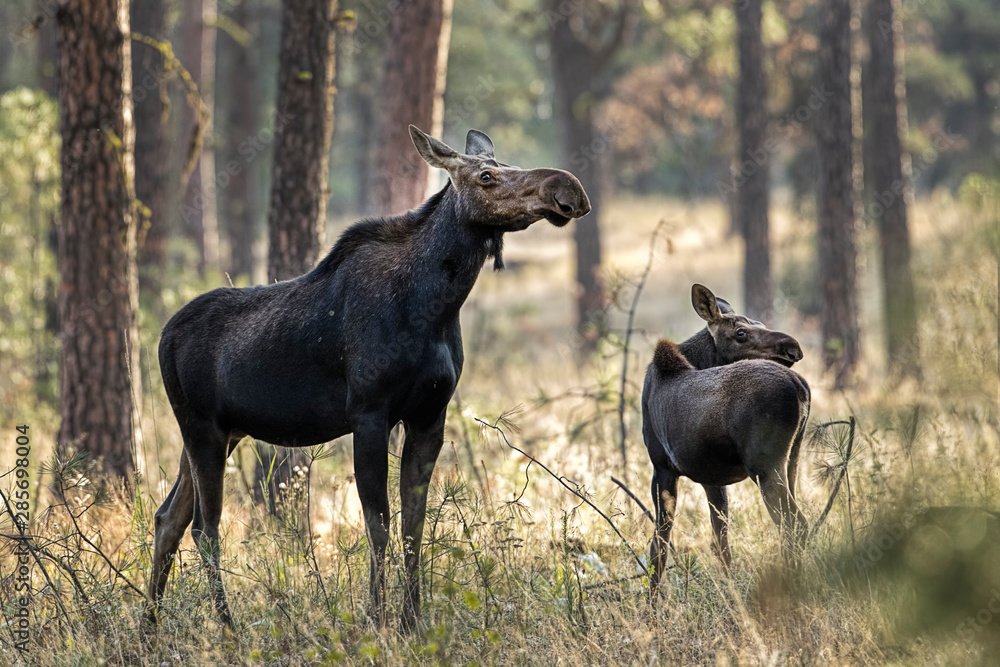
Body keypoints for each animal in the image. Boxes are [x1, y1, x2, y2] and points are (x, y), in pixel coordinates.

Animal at [148, 126, 591, 630]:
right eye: (486, 176)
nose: (567, 190)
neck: (436, 307)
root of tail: (163, 337)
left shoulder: (428, 416)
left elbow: (414, 525)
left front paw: (413, 621)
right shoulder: (369, 414)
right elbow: (378, 526)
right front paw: (376, 622)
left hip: (222, 433)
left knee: (168, 517)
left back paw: (149, 627)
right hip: (201, 428)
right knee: (205, 528)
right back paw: (227, 628)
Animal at [642, 284, 810, 594]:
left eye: (760, 324)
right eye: (741, 332)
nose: (793, 347)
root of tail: (801, 388)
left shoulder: (662, 467)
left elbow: (659, 547)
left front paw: (651, 605)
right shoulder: (711, 477)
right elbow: (721, 545)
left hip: (765, 467)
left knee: (795, 526)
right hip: (792, 460)